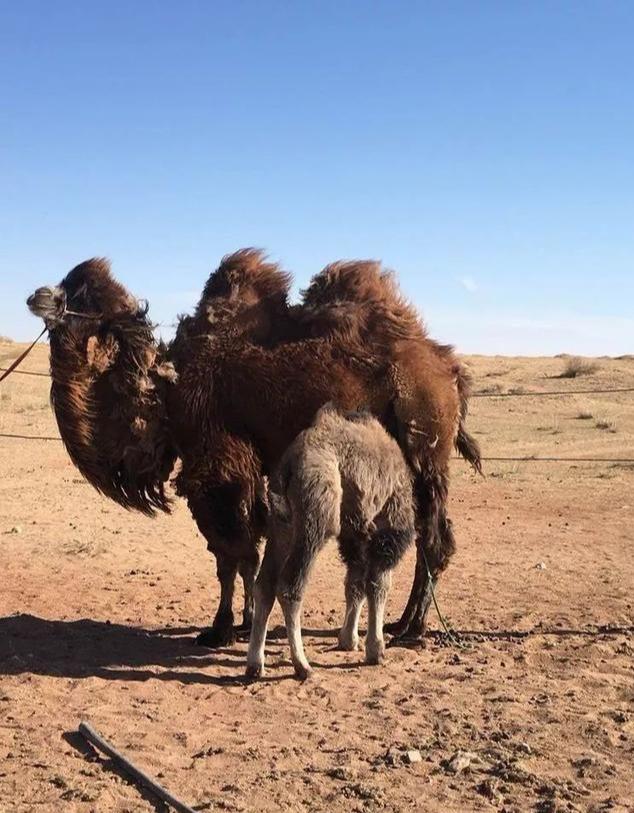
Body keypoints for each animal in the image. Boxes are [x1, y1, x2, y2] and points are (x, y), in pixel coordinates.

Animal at [25, 247, 478, 648]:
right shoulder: (247, 466)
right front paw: (244, 623)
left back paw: (412, 629)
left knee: (433, 540)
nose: (35, 296)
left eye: (79, 294)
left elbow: (230, 553)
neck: (166, 391)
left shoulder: (215, 464)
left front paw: (219, 629)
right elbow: (250, 551)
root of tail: (450, 371)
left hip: (425, 450)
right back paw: (403, 622)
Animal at [246, 404, 414, 680]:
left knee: (264, 585)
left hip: (282, 526)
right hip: (316, 515)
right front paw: (376, 650)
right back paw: (302, 665)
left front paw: (348, 640)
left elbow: (355, 582)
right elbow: (378, 583)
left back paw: (254, 664)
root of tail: (289, 466)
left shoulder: (355, 529)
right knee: (290, 587)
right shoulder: (385, 524)